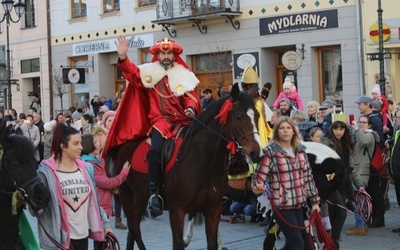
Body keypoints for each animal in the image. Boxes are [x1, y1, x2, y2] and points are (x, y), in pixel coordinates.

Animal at [106, 84, 262, 250]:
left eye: (257, 116)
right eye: (238, 116)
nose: (257, 152)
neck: (203, 161)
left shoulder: (213, 209)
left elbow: (211, 242)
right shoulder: (177, 211)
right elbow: (178, 243)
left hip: (140, 197)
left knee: (133, 229)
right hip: (126, 194)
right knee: (134, 227)